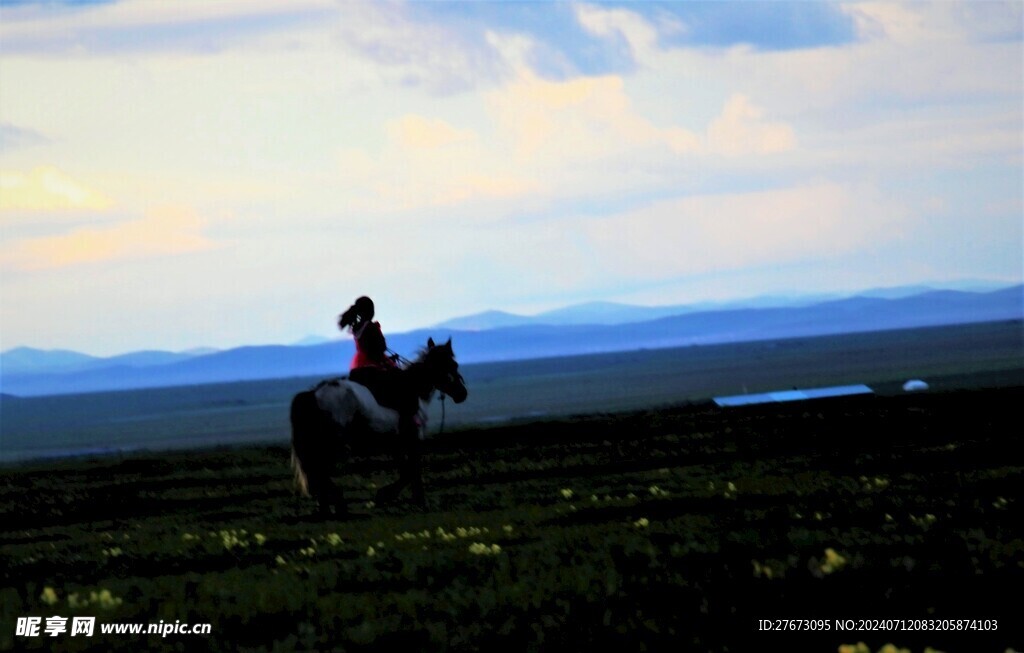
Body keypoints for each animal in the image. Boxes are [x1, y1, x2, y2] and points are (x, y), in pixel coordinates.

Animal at [288, 337, 464, 515]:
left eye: (455, 364)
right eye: (448, 365)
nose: (462, 394)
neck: (411, 389)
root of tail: (313, 394)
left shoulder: (397, 446)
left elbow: (407, 471)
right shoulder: (413, 440)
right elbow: (412, 470)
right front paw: (395, 497)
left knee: (317, 474)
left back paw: (329, 508)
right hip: (332, 445)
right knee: (319, 473)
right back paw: (338, 505)